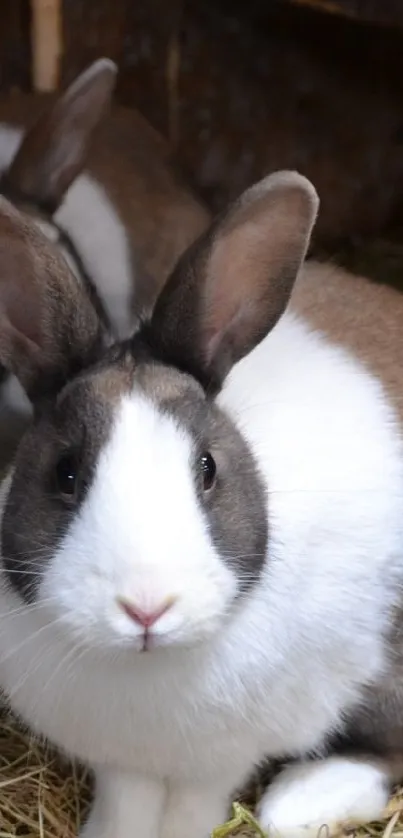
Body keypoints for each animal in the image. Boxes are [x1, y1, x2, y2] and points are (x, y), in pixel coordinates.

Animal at [0, 169, 402, 838]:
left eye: (208, 468)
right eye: (66, 472)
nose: (146, 607)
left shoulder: (222, 761)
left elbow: (195, 806)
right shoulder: (122, 764)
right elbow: (127, 804)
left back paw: (298, 801)